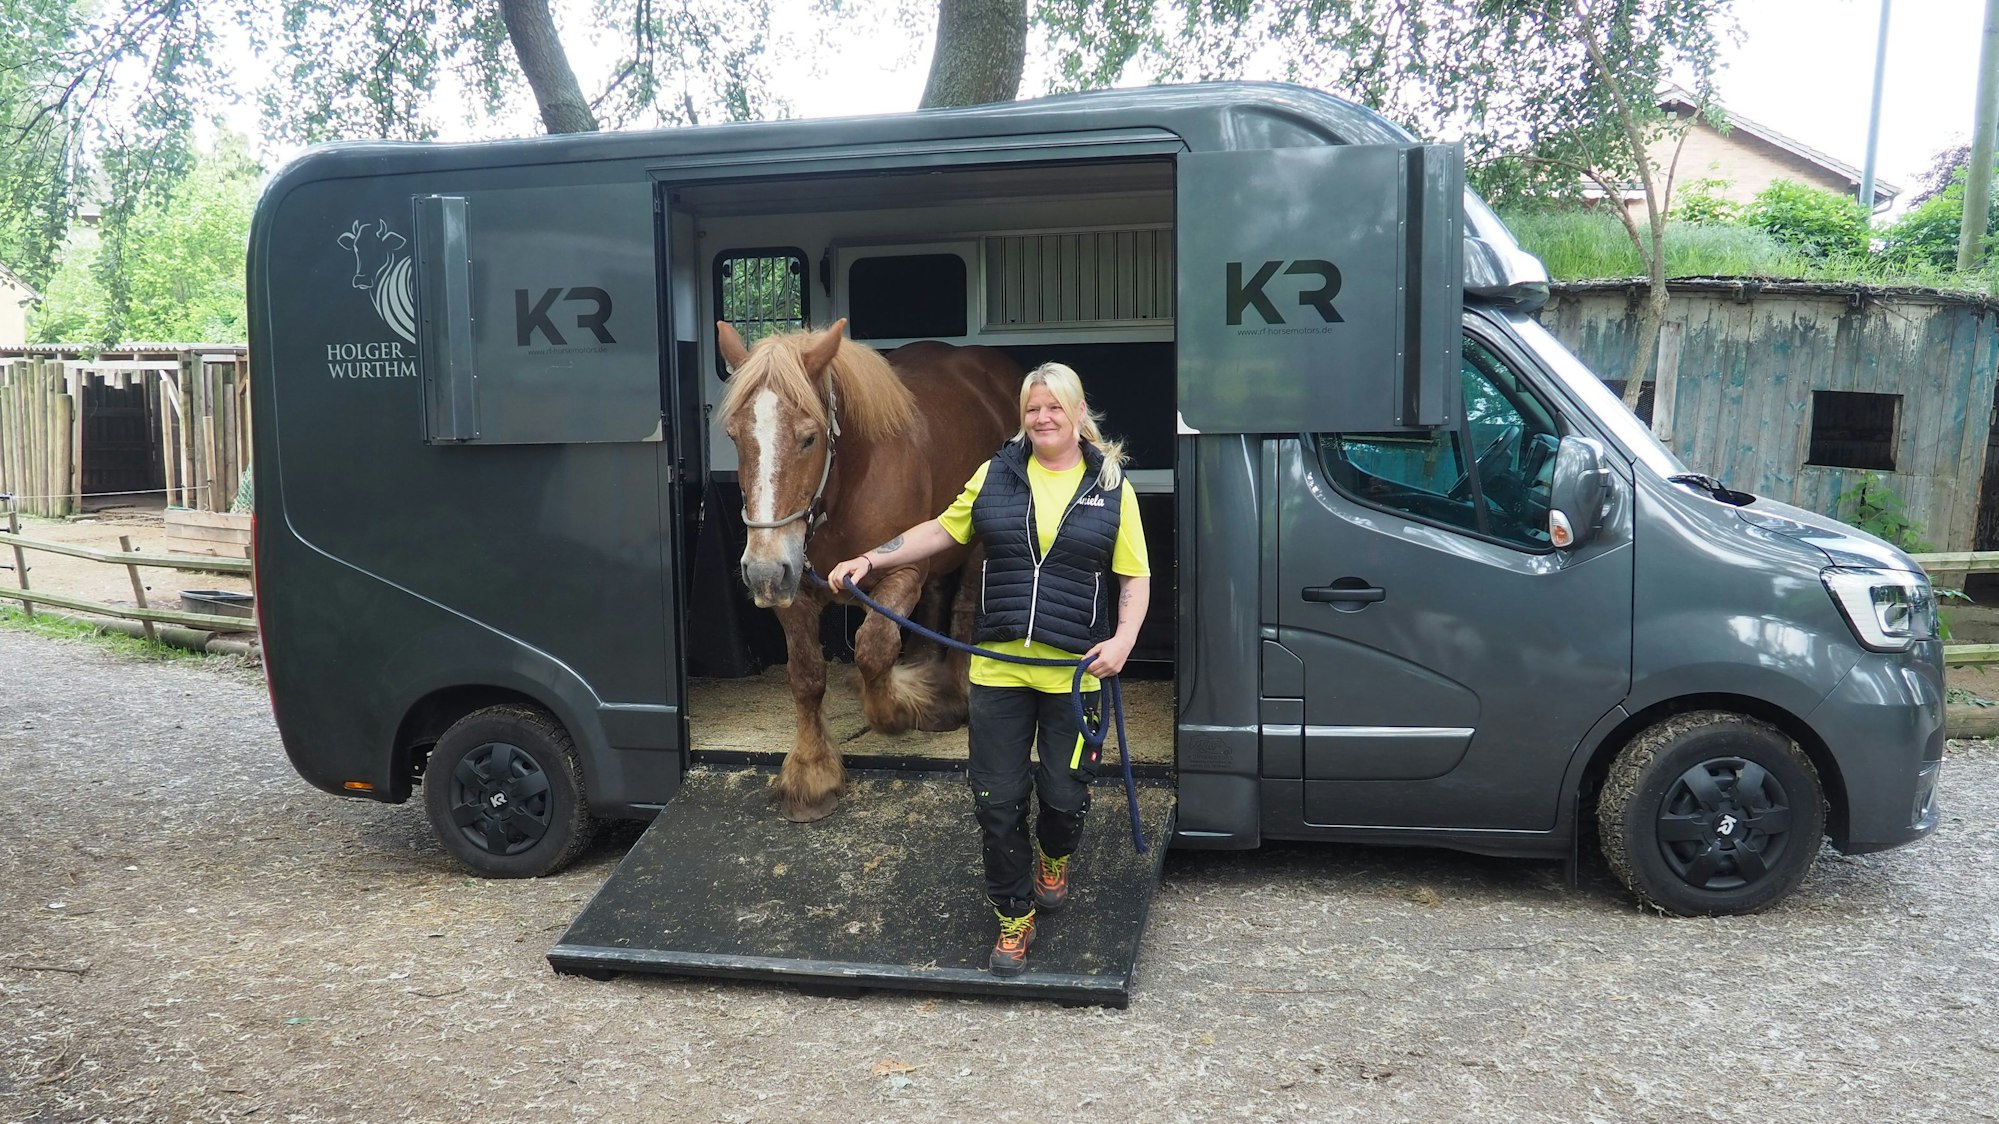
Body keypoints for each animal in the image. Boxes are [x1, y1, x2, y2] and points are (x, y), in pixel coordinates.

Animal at [717, 318, 1022, 822]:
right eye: (734, 437)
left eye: (809, 437)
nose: (762, 570)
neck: (844, 488)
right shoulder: (794, 590)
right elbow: (806, 674)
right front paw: (812, 773)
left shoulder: (901, 571)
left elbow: (874, 649)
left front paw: (902, 704)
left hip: (978, 545)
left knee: (962, 610)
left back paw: (950, 697)